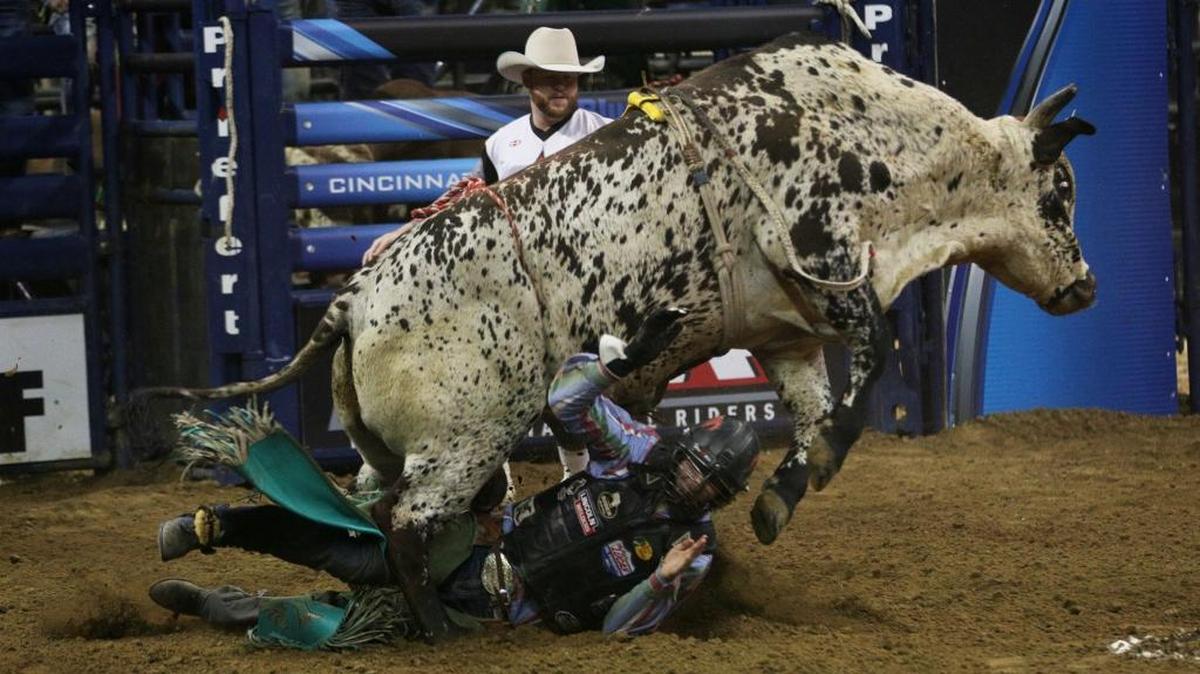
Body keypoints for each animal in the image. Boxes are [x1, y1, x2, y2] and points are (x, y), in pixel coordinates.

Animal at [144, 31, 1095, 632]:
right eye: (1061, 194)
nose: (1085, 287)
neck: (869, 132)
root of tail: (356, 296)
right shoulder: (830, 262)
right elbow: (872, 364)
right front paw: (809, 473)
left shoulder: (788, 331)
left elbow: (816, 410)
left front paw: (782, 495)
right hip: (465, 438)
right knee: (407, 526)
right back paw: (442, 630)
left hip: (392, 446)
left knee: (365, 517)